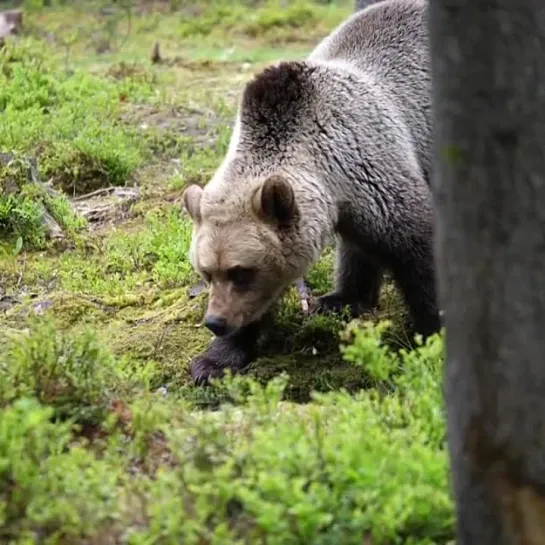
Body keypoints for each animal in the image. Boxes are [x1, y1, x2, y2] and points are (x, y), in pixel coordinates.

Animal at [182, 0, 438, 384]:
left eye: (241, 271)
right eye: (206, 271)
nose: (215, 322)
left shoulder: (376, 172)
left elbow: (418, 250)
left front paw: (433, 333)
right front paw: (214, 361)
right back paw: (341, 298)